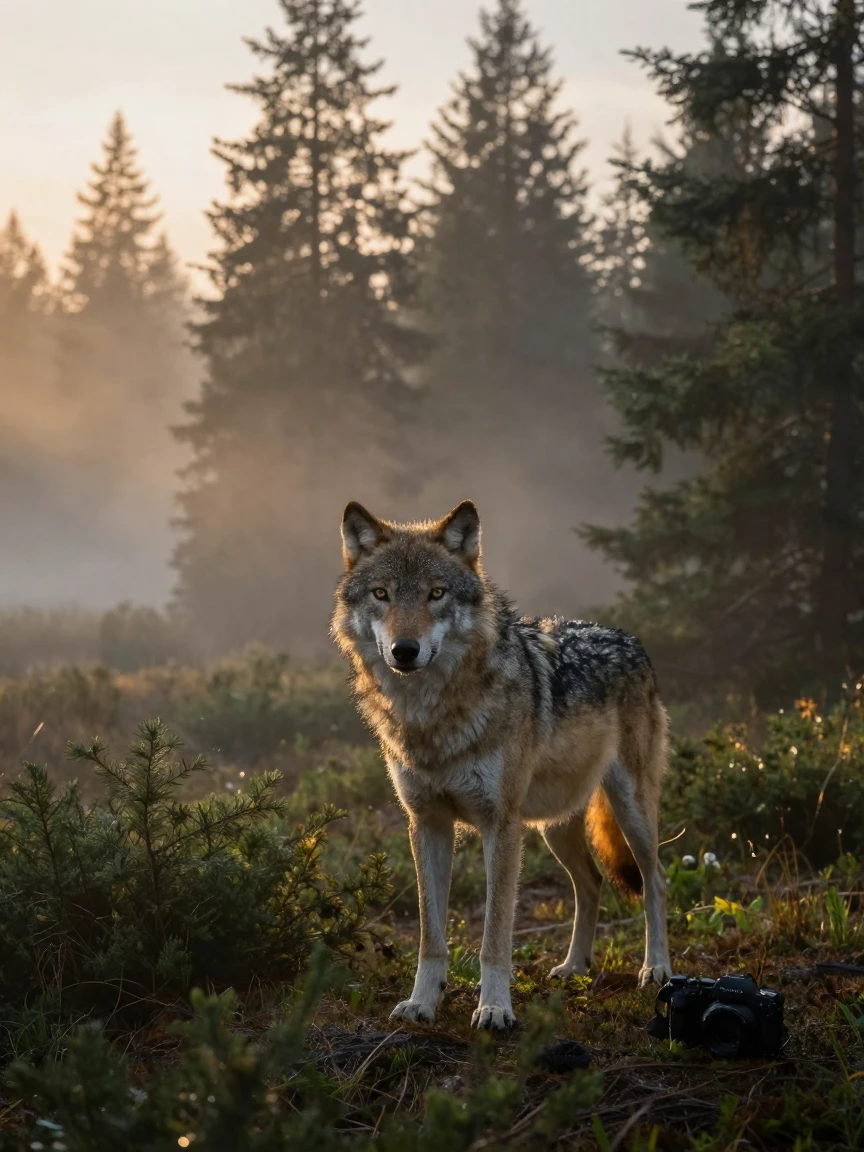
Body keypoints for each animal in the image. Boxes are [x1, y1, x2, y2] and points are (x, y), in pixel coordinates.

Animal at [331, 499, 671, 1030]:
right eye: (381, 594)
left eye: (436, 593)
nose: (405, 651)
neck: (433, 719)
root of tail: (627, 637)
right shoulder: (426, 823)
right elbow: (430, 935)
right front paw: (422, 1003)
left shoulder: (501, 826)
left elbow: (494, 937)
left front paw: (494, 1008)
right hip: (554, 826)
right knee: (591, 882)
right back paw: (574, 967)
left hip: (629, 812)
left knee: (654, 879)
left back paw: (655, 968)